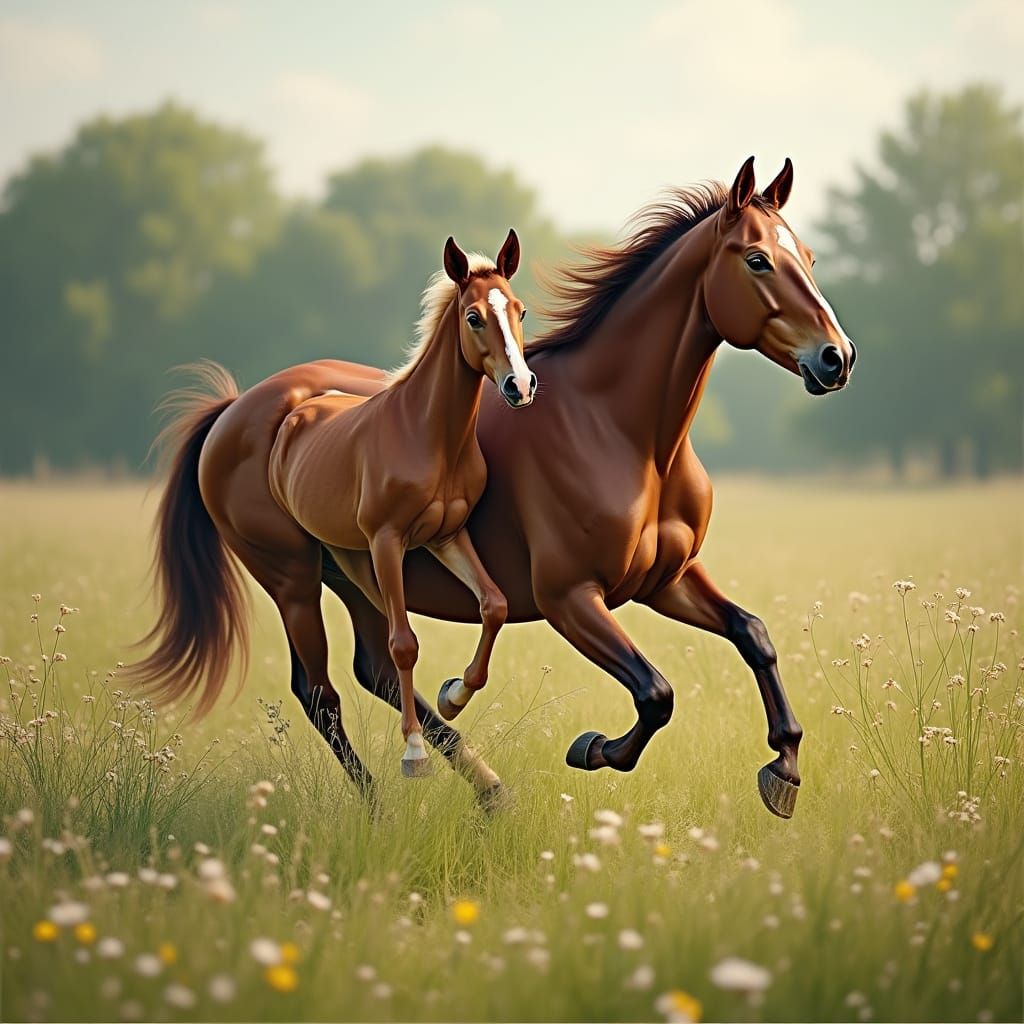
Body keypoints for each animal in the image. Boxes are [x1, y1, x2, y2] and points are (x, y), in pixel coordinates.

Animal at [133, 157, 855, 818]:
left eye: (809, 256)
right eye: (757, 260)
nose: (837, 358)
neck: (624, 434)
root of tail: (235, 408)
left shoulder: (666, 580)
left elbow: (752, 635)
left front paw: (784, 769)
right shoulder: (571, 598)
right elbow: (656, 694)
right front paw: (592, 748)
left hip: (358, 573)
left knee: (378, 669)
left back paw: (488, 790)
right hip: (292, 579)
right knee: (321, 691)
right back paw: (382, 806)